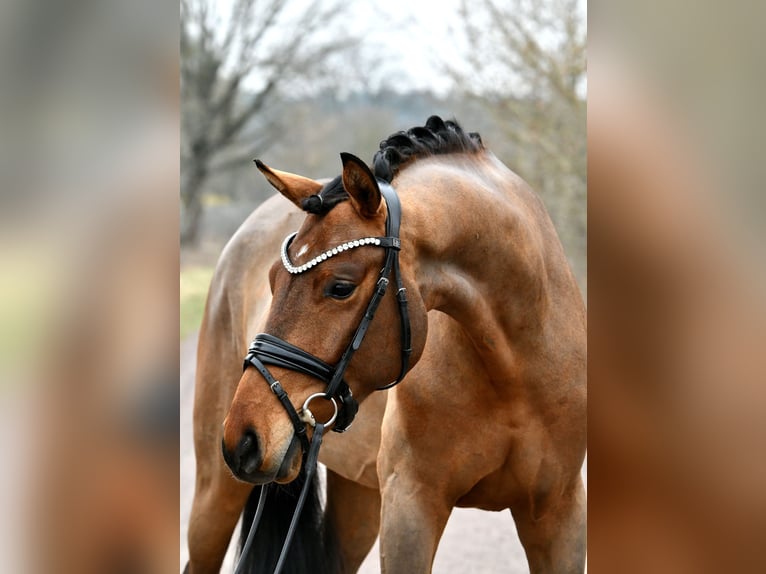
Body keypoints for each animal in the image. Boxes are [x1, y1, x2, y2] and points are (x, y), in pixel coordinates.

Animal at [185, 116, 586, 573]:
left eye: (340, 287)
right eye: (272, 281)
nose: (245, 437)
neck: (514, 370)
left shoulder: (559, 513)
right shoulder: (409, 507)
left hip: (358, 494)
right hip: (215, 491)